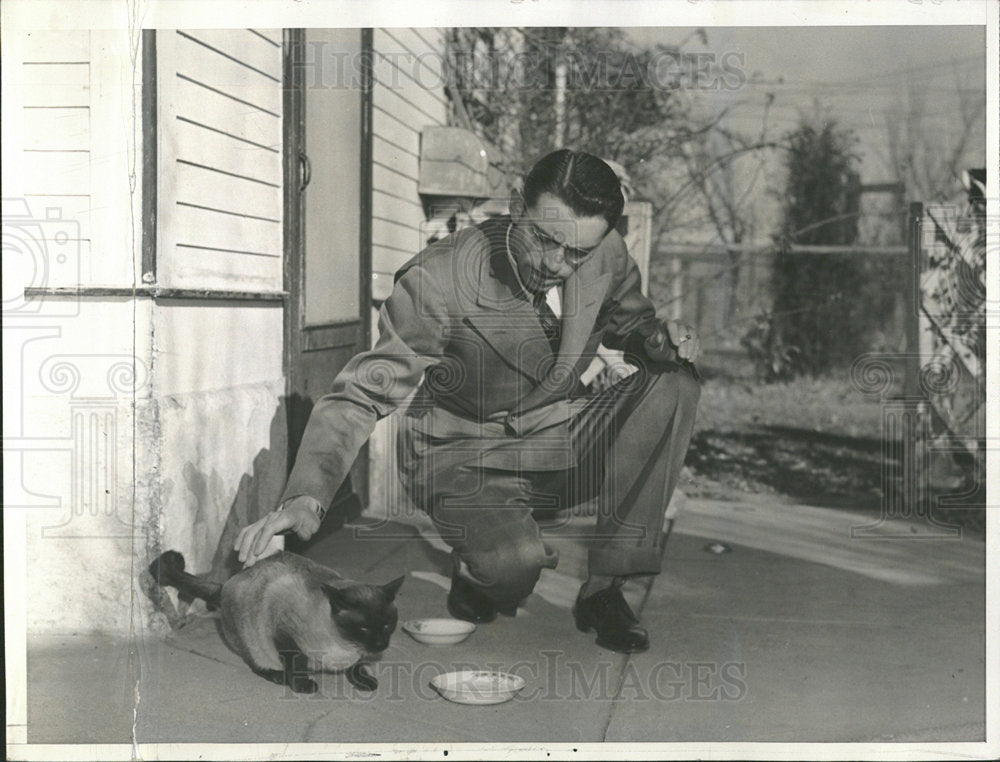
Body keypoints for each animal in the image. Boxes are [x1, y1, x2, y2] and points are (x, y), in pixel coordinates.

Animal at [147, 548, 402, 692]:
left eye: (387, 626)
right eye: (364, 628)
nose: (382, 645)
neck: (343, 646)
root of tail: (225, 584)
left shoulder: (357, 654)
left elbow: (357, 667)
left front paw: (363, 681)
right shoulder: (284, 633)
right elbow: (297, 662)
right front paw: (302, 686)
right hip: (252, 639)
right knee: (256, 664)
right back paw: (278, 677)